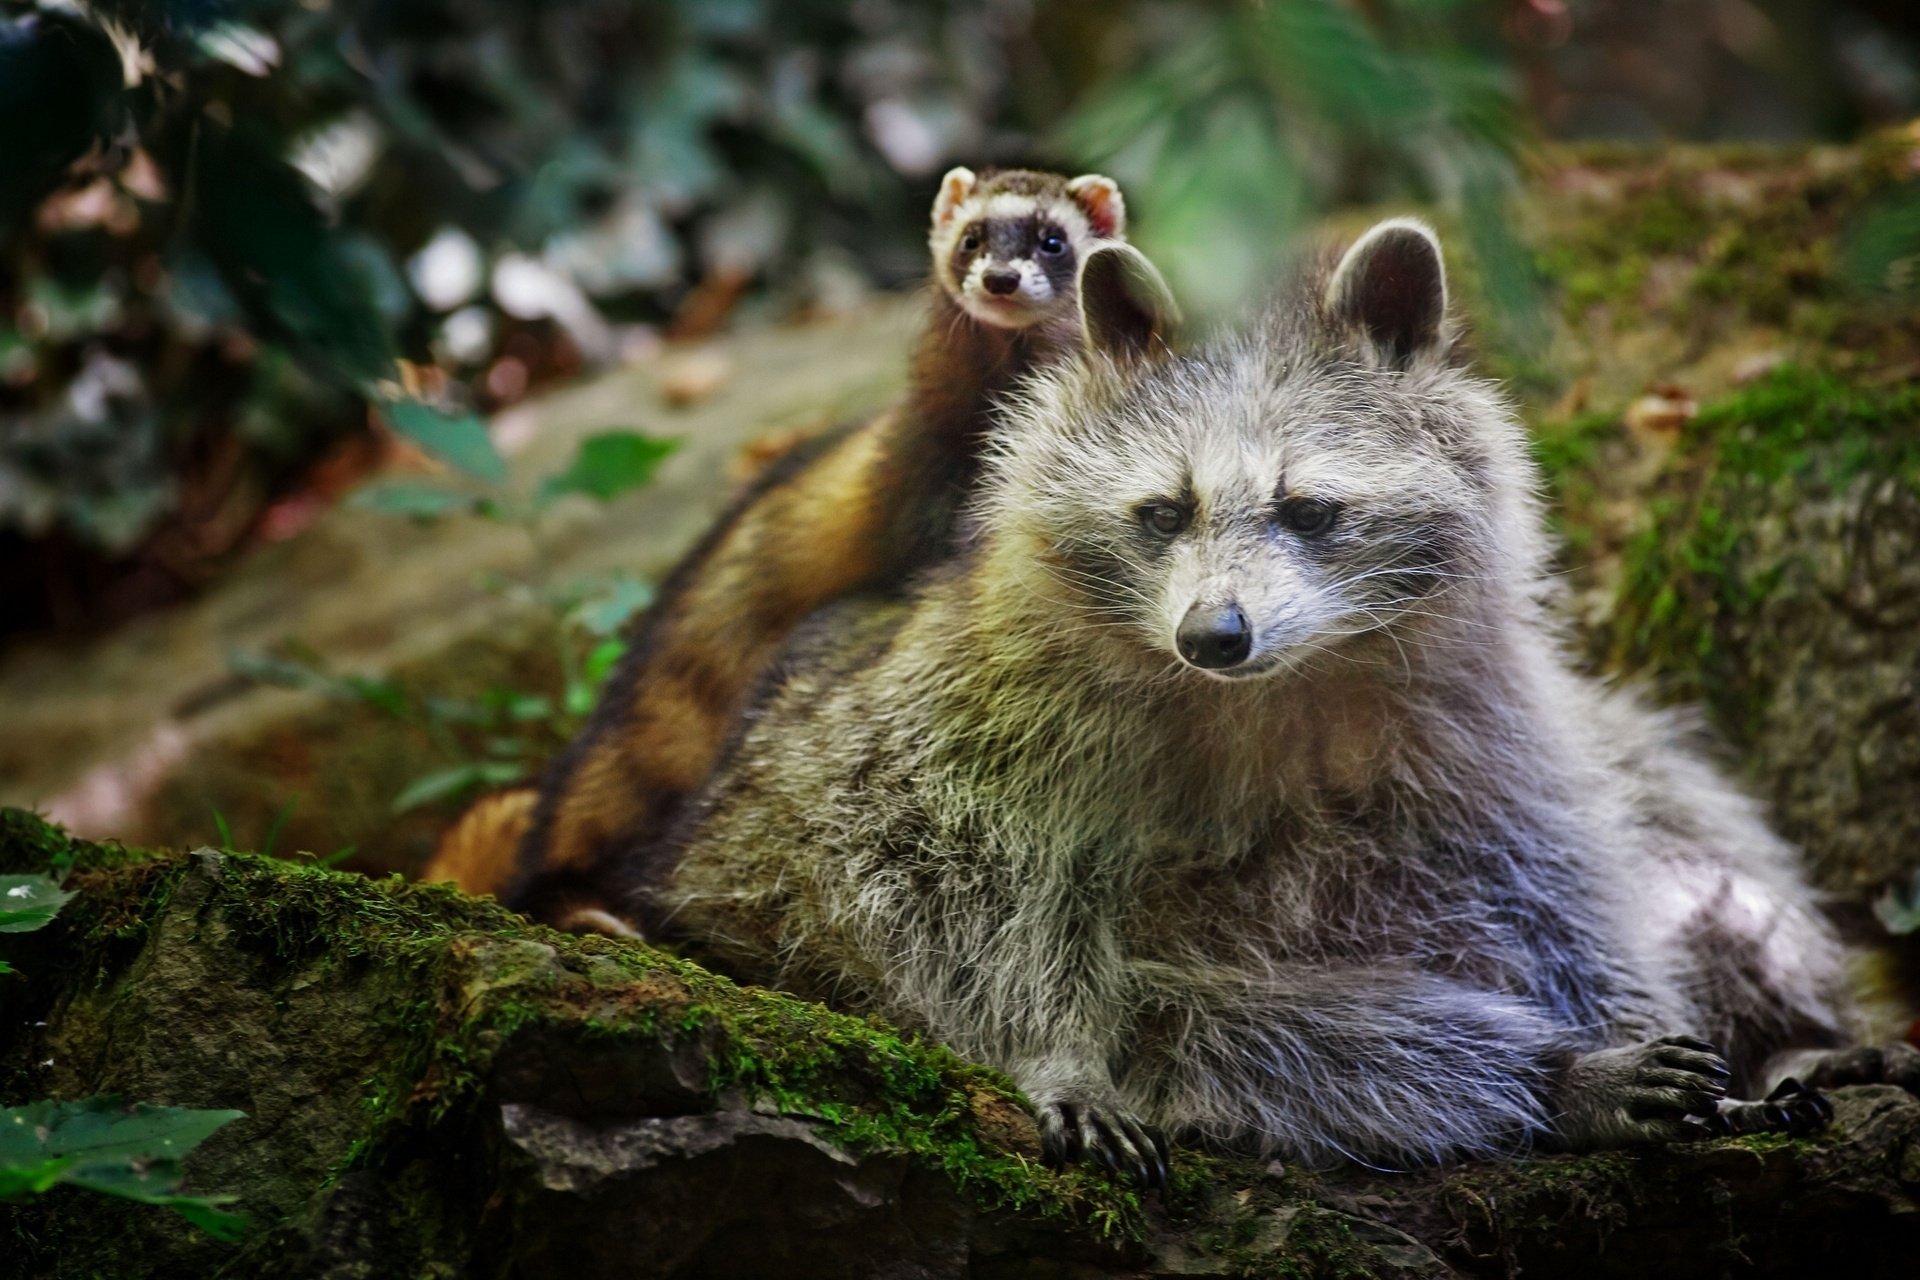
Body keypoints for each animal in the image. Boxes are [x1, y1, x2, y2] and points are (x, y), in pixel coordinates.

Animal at [653, 223, 1907, 1181]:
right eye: (1164, 510)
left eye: (1309, 509)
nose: (1214, 634)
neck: (1276, 682)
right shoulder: (982, 730)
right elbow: (949, 895)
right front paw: (1054, 1048)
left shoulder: (1475, 712)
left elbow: (1544, 875)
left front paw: (1640, 1014)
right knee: (1232, 1024)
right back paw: (1544, 1075)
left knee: (1703, 854)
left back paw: (1792, 1037)